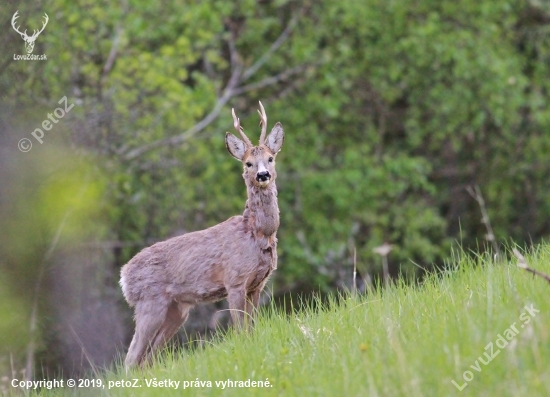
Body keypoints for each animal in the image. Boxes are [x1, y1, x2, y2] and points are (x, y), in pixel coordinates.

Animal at [119, 100, 284, 366]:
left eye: (271, 158)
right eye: (247, 163)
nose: (263, 175)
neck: (257, 233)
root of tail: (124, 276)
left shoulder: (257, 285)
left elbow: (252, 329)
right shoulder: (235, 280)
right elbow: (240, 331)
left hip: (177, 310)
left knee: (148, 358)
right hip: (149, 303)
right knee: (131, 358)